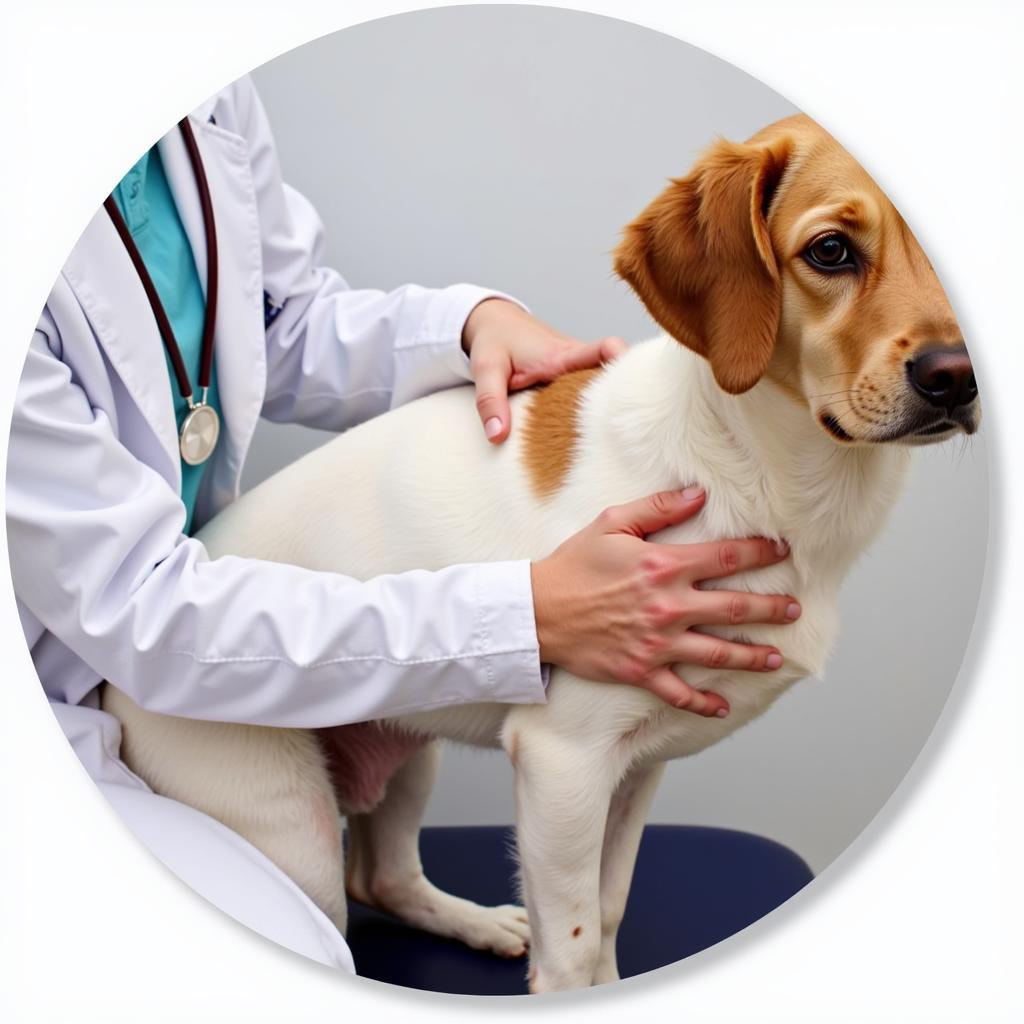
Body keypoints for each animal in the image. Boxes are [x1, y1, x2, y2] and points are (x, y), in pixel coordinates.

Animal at [101, 114, 974, 991]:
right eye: (831, 250)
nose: (955, 378)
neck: (758, 471)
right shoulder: (566, 762)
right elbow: (575, 947)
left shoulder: (637, 764)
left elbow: (611, 911)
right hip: (287, 825)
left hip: (410, 749)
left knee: (381, 874)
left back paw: (475, 922)